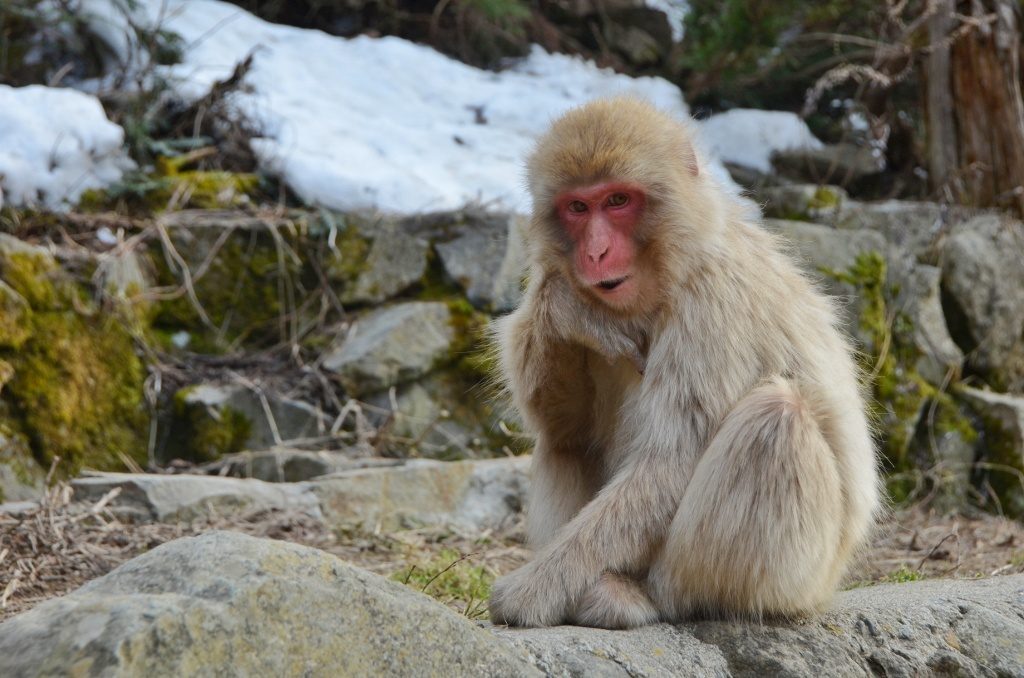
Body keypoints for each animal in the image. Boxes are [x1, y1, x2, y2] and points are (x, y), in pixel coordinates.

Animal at [487, 97, 881, 629]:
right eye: (578, 207)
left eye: (617, 200)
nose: (595, 252)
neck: (670, 270)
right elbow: (564, 423)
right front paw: (568, 311)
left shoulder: (713, 300)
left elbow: (669, 463)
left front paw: (531, 591)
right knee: (563, 442)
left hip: (800, 577)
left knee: (775, 419)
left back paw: (649, 597)